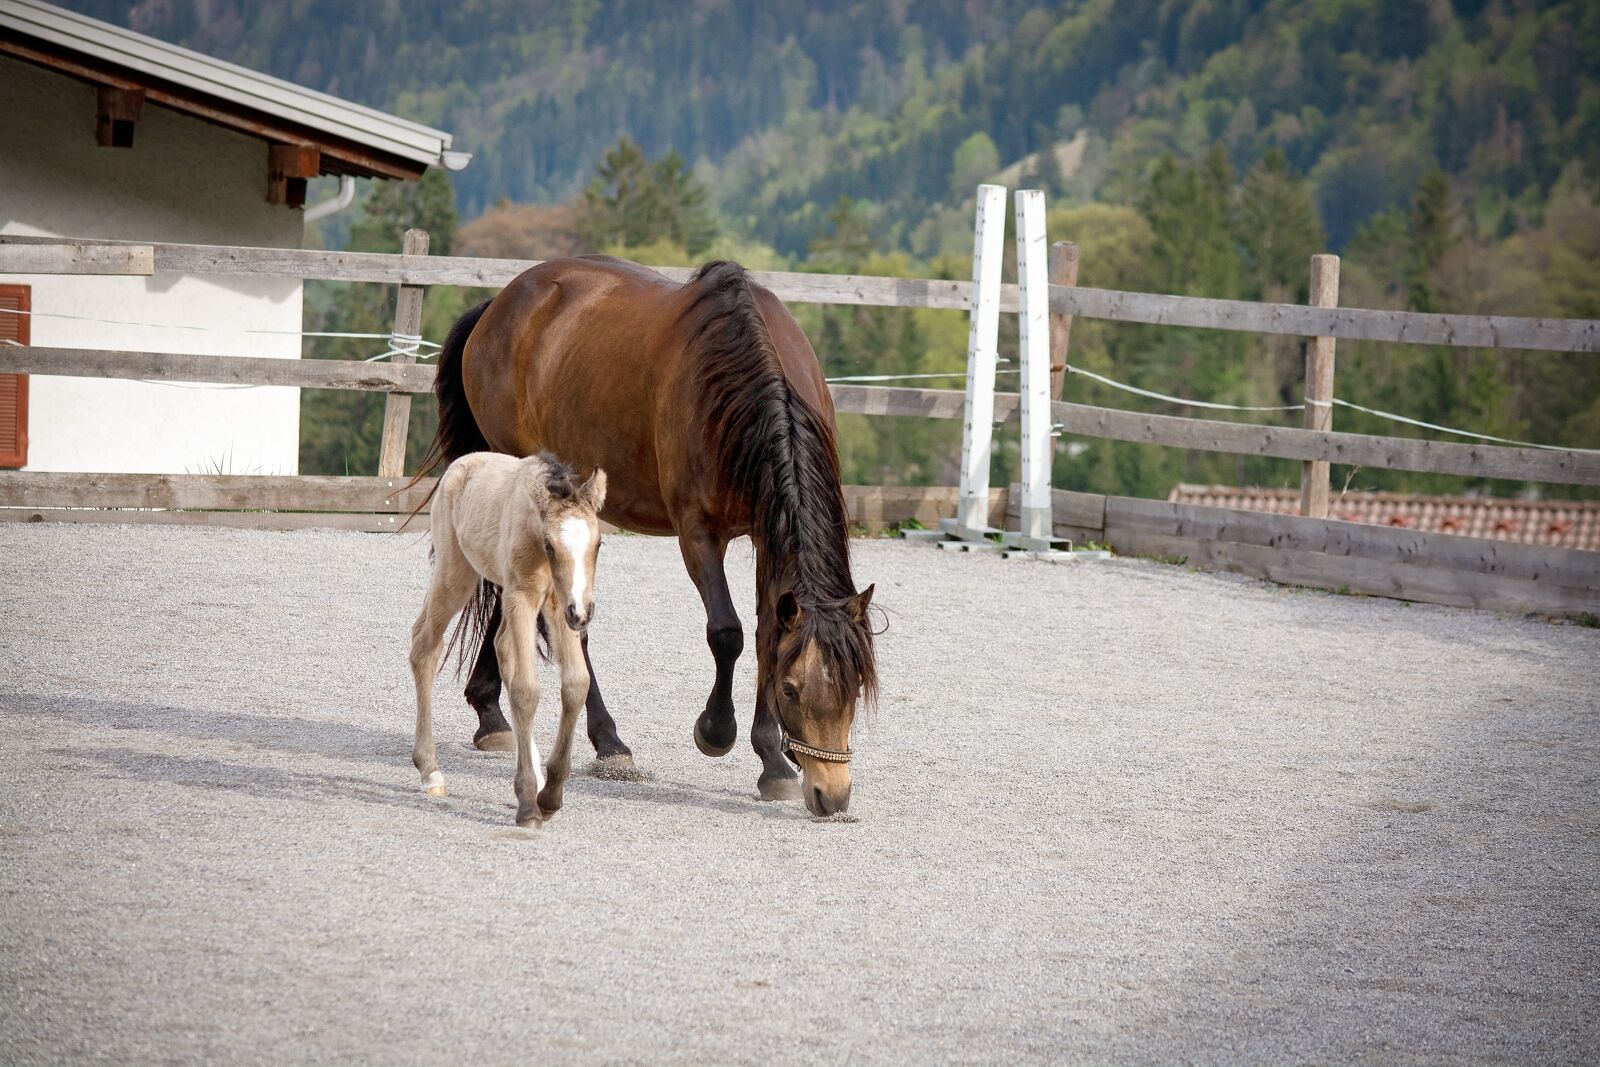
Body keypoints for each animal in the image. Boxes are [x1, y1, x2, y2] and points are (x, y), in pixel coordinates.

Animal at [409, 450, 607, 827]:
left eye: (598, 544)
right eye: (550, 545)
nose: (583, 612)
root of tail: (462, 464)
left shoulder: (558, 605)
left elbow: (576, 683)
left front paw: (550, 795)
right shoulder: (524, 598)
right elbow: (527, 690)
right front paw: (529, 804)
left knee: (501, 647)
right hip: (456, 574)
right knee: (424, 646)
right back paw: (430, 772)